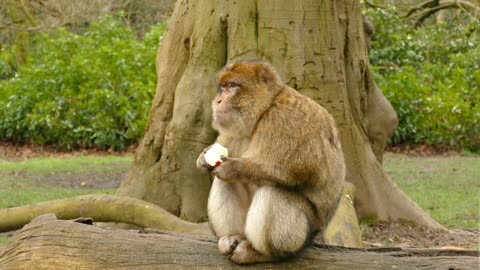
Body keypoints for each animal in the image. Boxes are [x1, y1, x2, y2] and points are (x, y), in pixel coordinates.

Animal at [196, 59, 344, 264]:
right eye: (223, 87)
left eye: (232, 86)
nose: (218, 100)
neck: (263, 111)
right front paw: (203, 158)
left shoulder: (285, 120)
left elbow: (291, 170)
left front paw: (232, 167)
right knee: (225, 183)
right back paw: (233, 237)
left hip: (299, 238)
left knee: (273, 191)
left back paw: (262, 253)